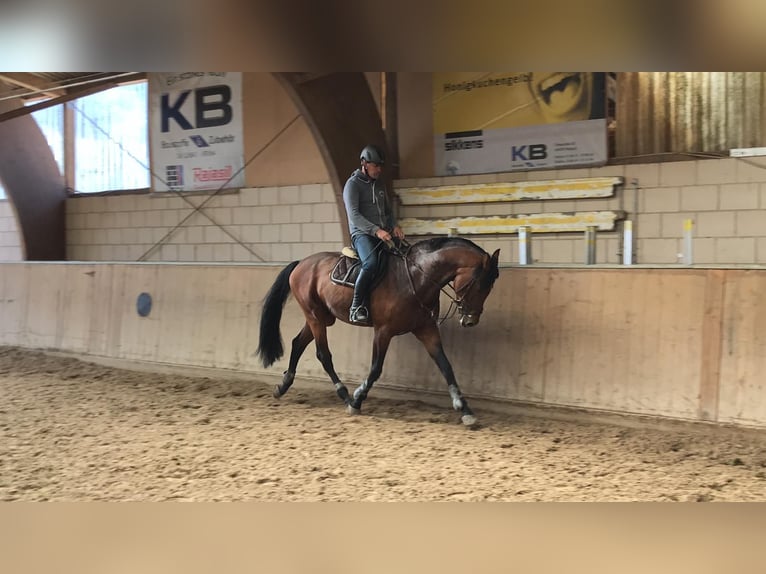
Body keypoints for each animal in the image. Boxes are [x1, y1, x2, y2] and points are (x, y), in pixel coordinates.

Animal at [256, 237, 500, 426]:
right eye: (480, 284)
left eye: (490, 286)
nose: (470, 320)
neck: (415, 278)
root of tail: (301, 263)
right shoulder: (383, 331)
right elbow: (375, 369)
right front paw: (357, 399)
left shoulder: (425, 329)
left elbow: (446, 366)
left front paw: (465, 409)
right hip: (315, 317)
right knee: (323, 355)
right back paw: (344, 395)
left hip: (321, 317)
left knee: (298, 343)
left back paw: (282, 386)